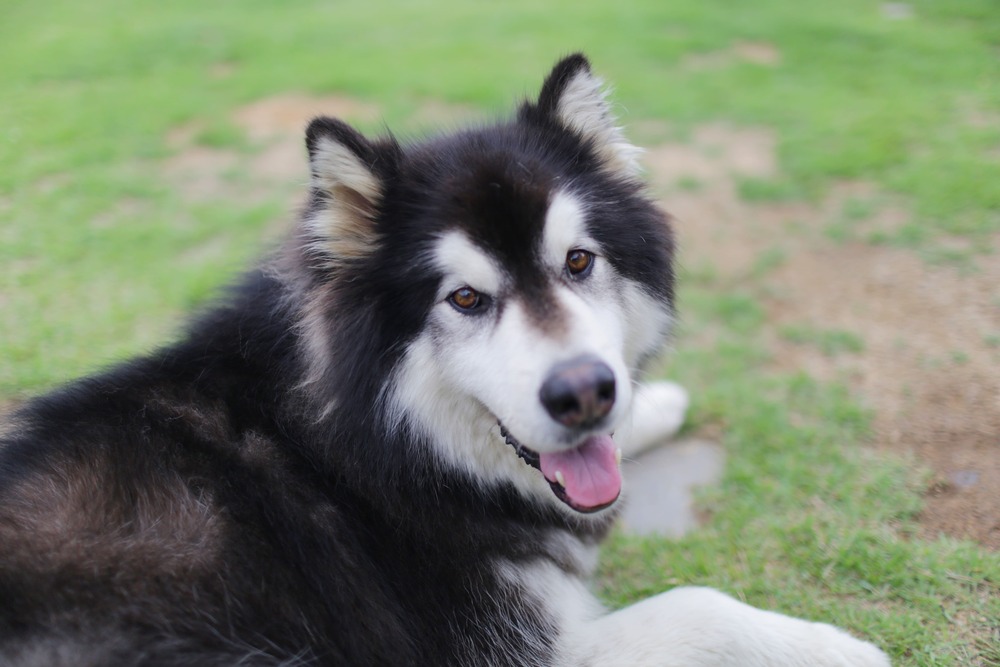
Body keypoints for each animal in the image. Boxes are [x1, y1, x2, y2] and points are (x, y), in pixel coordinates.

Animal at [0, 53, 892, 667]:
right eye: (465, 299)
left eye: (578, 261)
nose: (587, 393)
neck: (369, 453)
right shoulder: (522, 648)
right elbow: (696, 602)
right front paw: (833, 645)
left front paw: (656, 403)